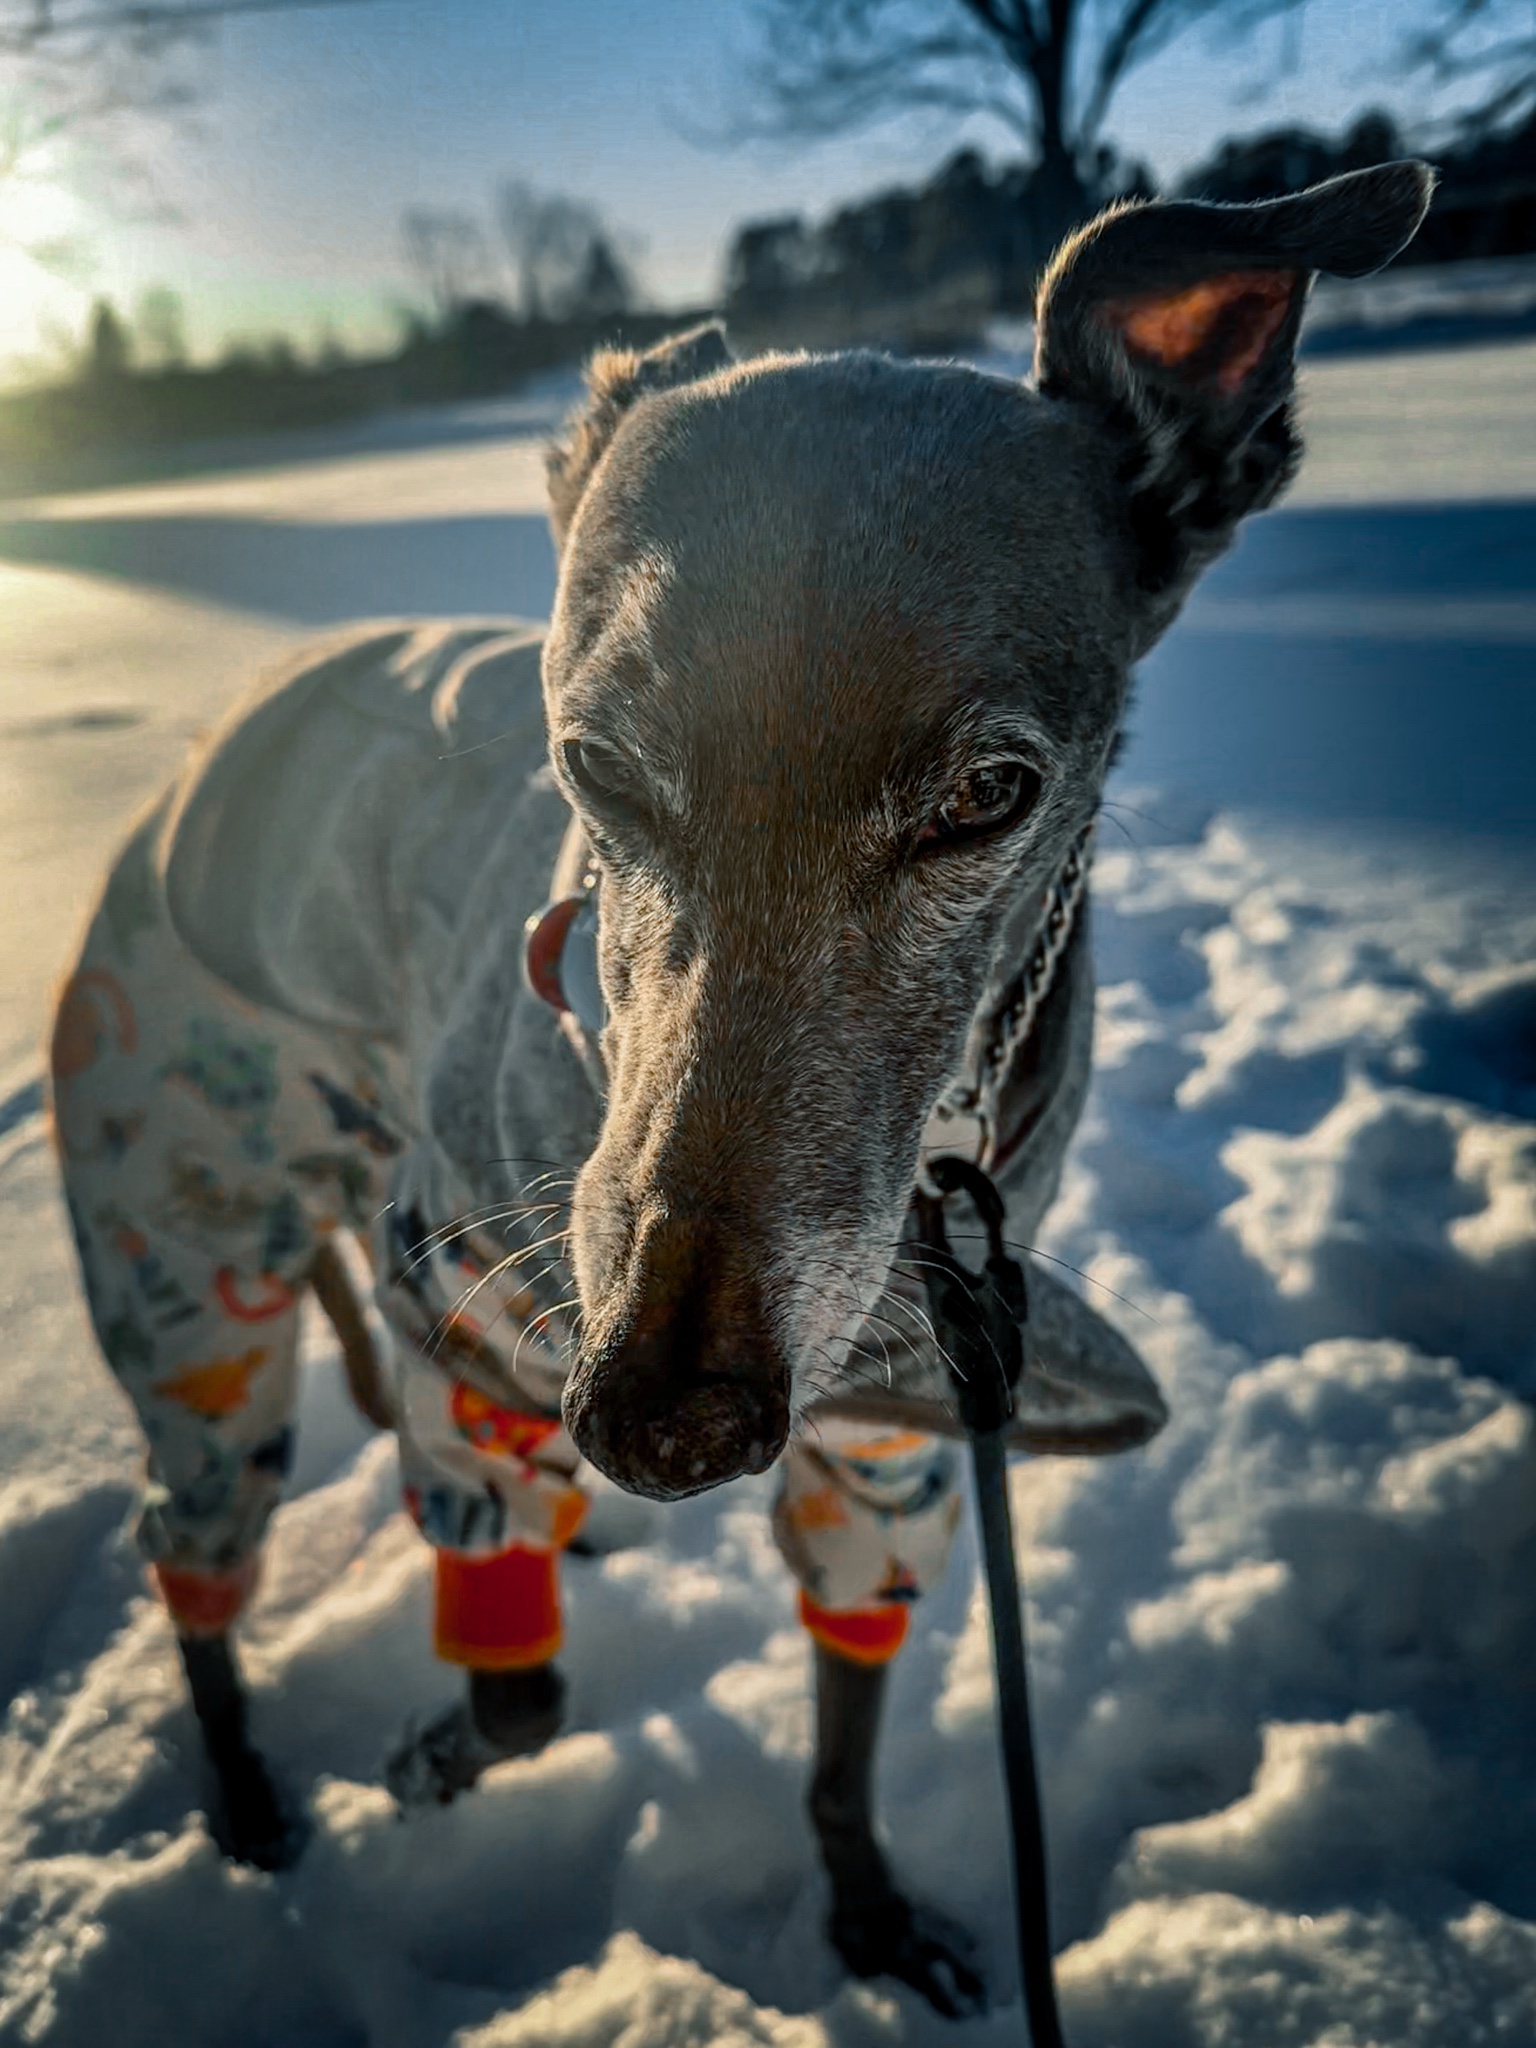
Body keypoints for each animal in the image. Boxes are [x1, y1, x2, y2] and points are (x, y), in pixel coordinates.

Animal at [51, 163, 1441, 2015]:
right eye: (589, 763)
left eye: (992, 793)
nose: (658, 1415)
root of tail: (218, 750)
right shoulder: (473, 1316)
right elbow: (519, 1682)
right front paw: (441, 1746)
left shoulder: (898, 1429)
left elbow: (844, 1707)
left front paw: (870, 1916)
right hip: (191, 1254)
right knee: (193, 1531)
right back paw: (251, 1786)